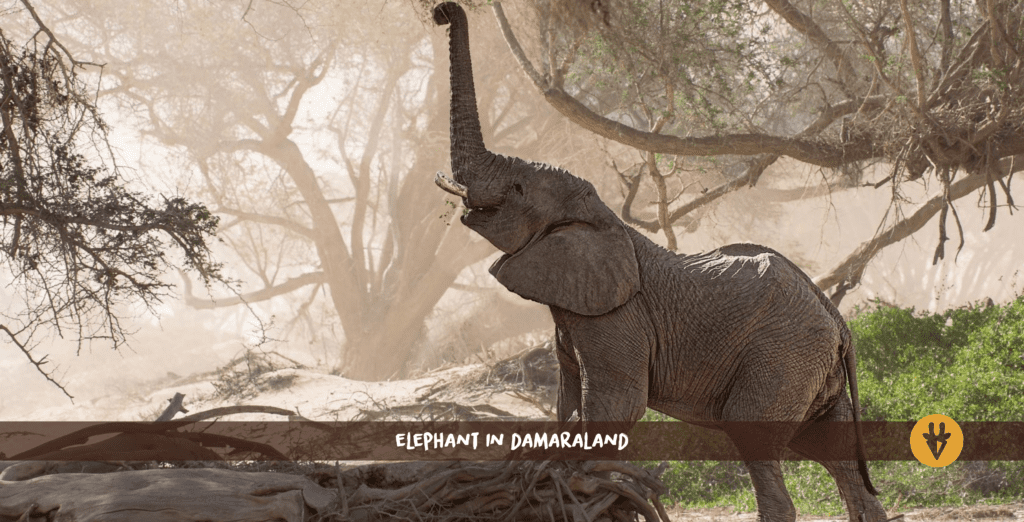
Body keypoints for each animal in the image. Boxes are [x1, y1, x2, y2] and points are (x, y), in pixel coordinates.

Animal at [431, 3, 889, 521]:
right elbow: (567, 403)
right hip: (811, 367)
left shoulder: (618, 316)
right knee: (835, 454)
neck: (604, 217)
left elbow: (616, 407)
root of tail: (839, 321)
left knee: (756, 437)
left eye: (517, 189)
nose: (442, 12)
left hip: (784, 356)